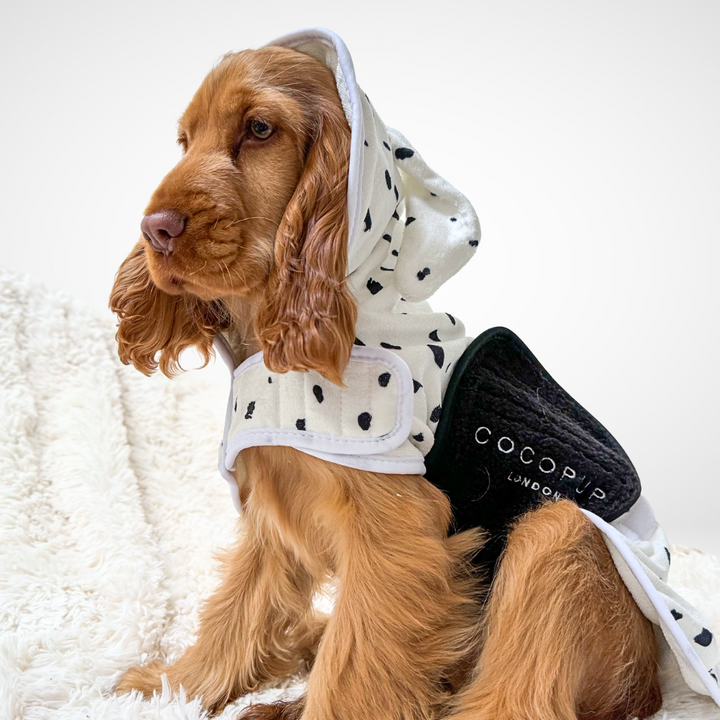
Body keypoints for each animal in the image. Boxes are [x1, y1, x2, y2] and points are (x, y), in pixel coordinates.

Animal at [109, 46, 660, 720]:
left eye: (260, 128)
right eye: (185, 141)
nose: (154, 229)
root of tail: (652, 684)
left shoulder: (396, 534)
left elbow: (355, 664)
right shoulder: (274, 505)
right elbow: (239, 608)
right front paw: (174, 686)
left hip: (559, 535)